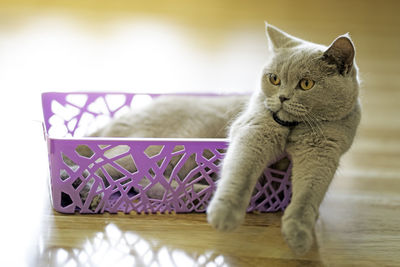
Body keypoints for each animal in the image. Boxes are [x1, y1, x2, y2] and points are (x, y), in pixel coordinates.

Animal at [208, 23, 360, 255]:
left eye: (306, 84)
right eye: (274, 79)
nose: (282, 97)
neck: (292, 127)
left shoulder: (321, 153)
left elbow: (308, 194)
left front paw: (298, 236)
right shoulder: (255, 132)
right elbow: (240, 173)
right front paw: (224, 215)